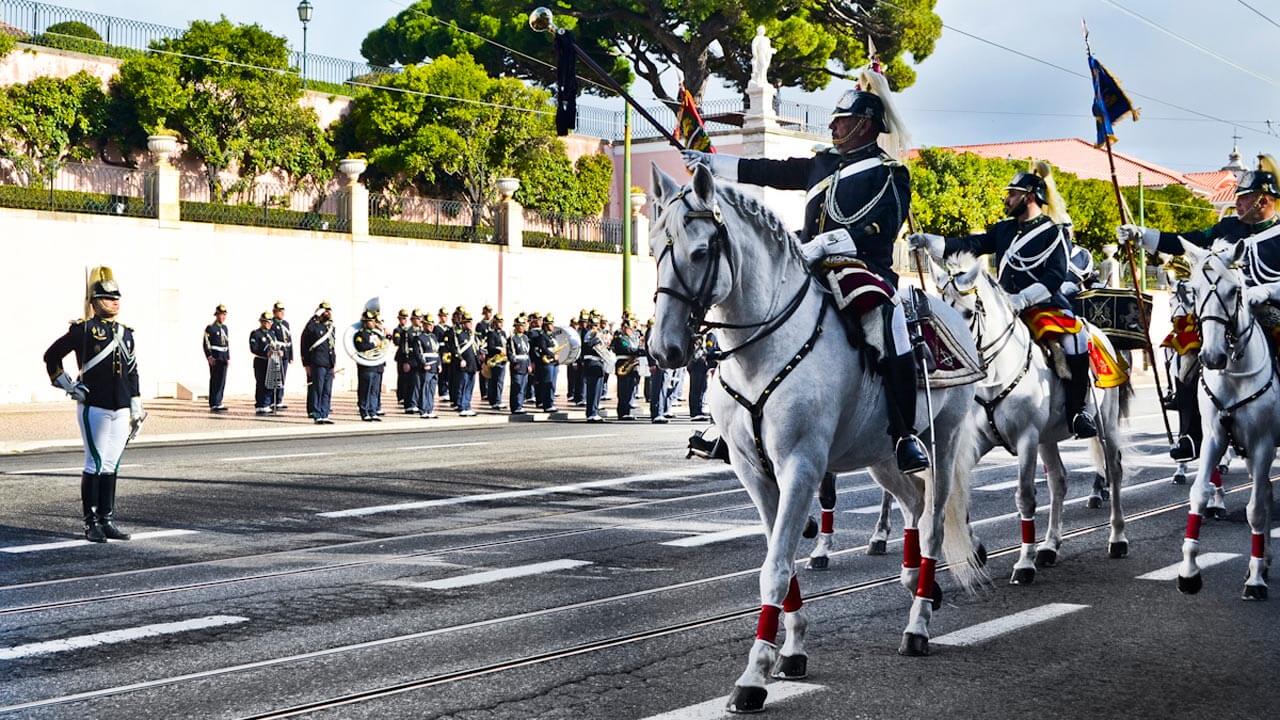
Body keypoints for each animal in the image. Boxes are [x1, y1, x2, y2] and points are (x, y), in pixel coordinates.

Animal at [645, 165, 983, 707]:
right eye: (654, 247)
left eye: (699, 252)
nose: (664, 350)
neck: (759, 348)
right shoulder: (754, 473)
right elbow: (781, 562)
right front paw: (792, 651)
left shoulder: (800, 466)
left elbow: (775, 568)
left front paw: (753, 677)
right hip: (882, 454)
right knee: (911, 501)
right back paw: (917, 581)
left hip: (943, 442)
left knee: (931, 520)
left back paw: (918, 624)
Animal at [936, 252, 1136, 584]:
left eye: (967, 313)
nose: (949, 361)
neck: (996, 375)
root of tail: (1102, 336)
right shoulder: (981, 439)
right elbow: (957, 488)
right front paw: (975, 550)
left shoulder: (1026, 439)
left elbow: (1025, 497)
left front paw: (1024, 563)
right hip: (1049, 438)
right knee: (1059, 481)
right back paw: (1050, 546)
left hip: (1104, 425)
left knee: (1115, 471)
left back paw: (1117, 538)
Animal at [1172, 238, 1274, 597]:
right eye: (1195, 289)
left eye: (1234, 291)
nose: (1212, 356)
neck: (1234, 373)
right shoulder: (1214, 437)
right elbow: (1198, 494)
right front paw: (1189, 571)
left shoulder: (1263, 444)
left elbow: (1255, 510)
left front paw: (1255, 579)